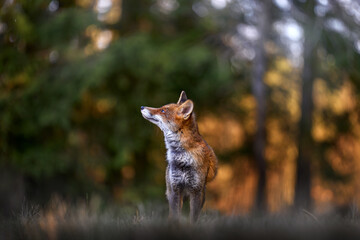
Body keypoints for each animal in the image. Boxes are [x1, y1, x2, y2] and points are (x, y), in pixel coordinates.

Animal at [140, 91, 217, 222]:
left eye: (163, 110)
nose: (141, 107)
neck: (182, 158)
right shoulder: (175, 189)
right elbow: (175, 216)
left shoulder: (196, 191)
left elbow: (193, 219)